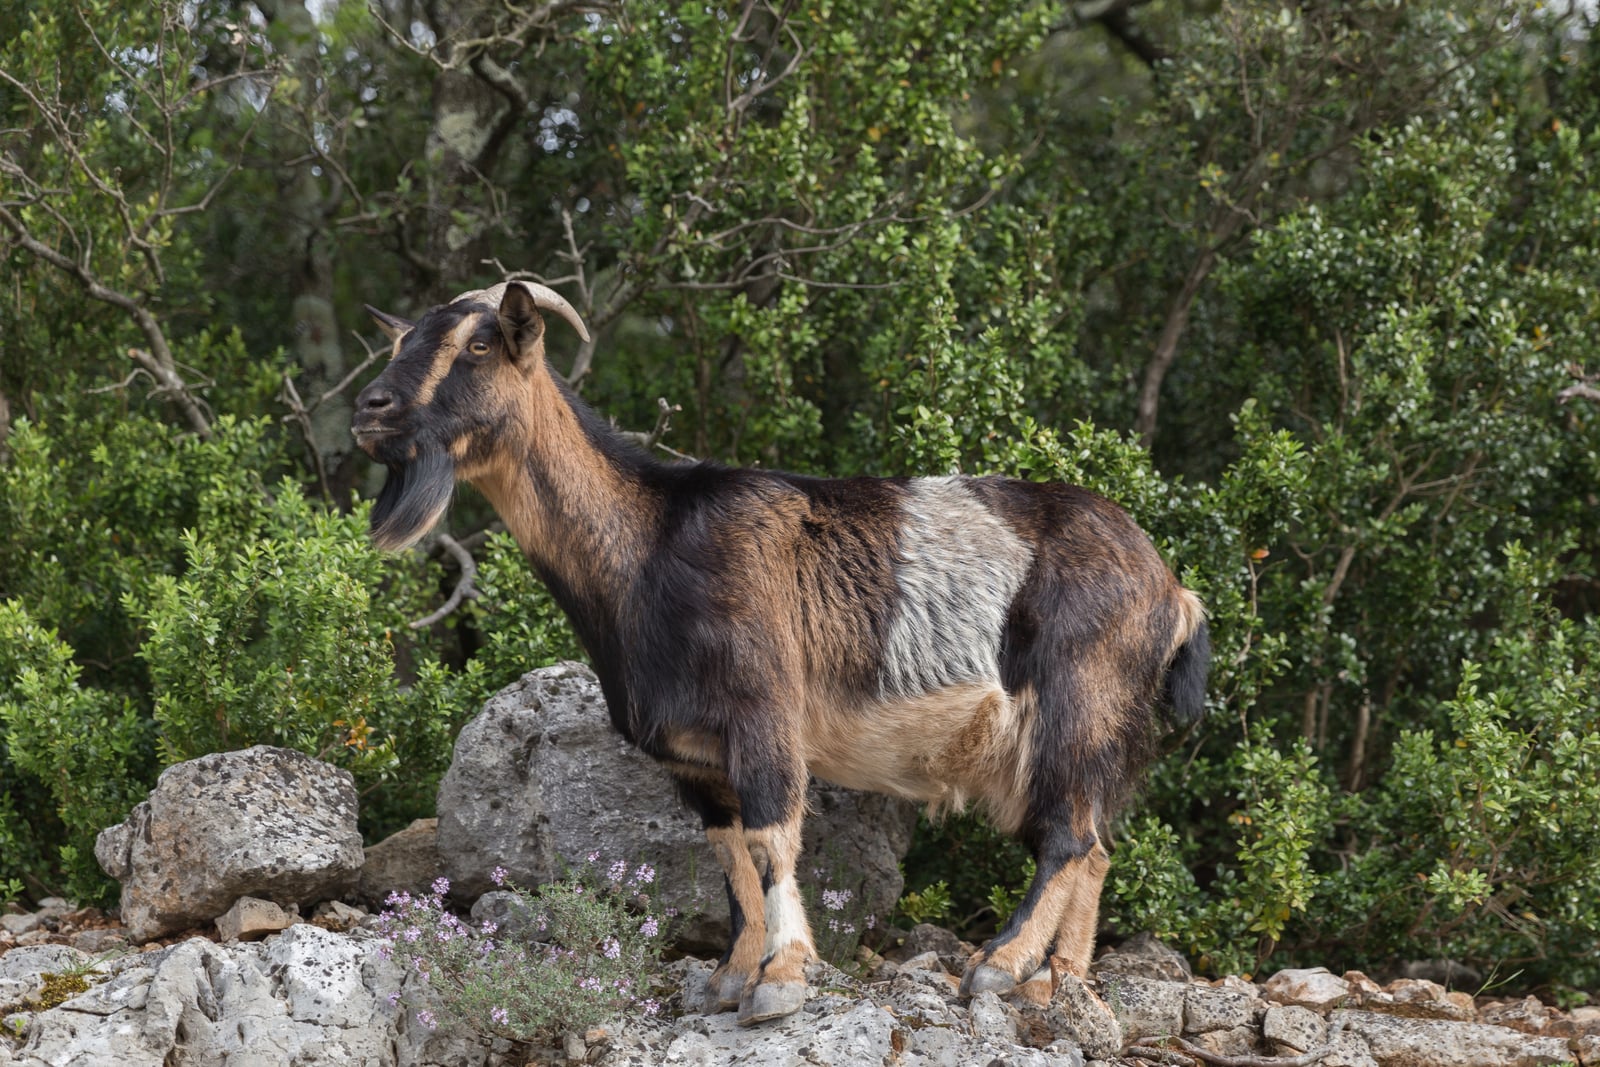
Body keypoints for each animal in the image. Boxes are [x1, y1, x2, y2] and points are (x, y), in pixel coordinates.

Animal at [353, 280, 1209, 1025]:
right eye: (400, 340)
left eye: (480, 342)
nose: (371, 407)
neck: (650, 546)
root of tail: (1174, 592)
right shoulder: (692, 759)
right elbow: (729, 854)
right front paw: (730, 976)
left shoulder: (762, 711)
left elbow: (771, 837)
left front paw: (782, 978)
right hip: (1101, 734)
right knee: (1096, 845)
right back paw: (1054, 983)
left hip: (1077, 704)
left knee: (1068, 838)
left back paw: (999, 966)